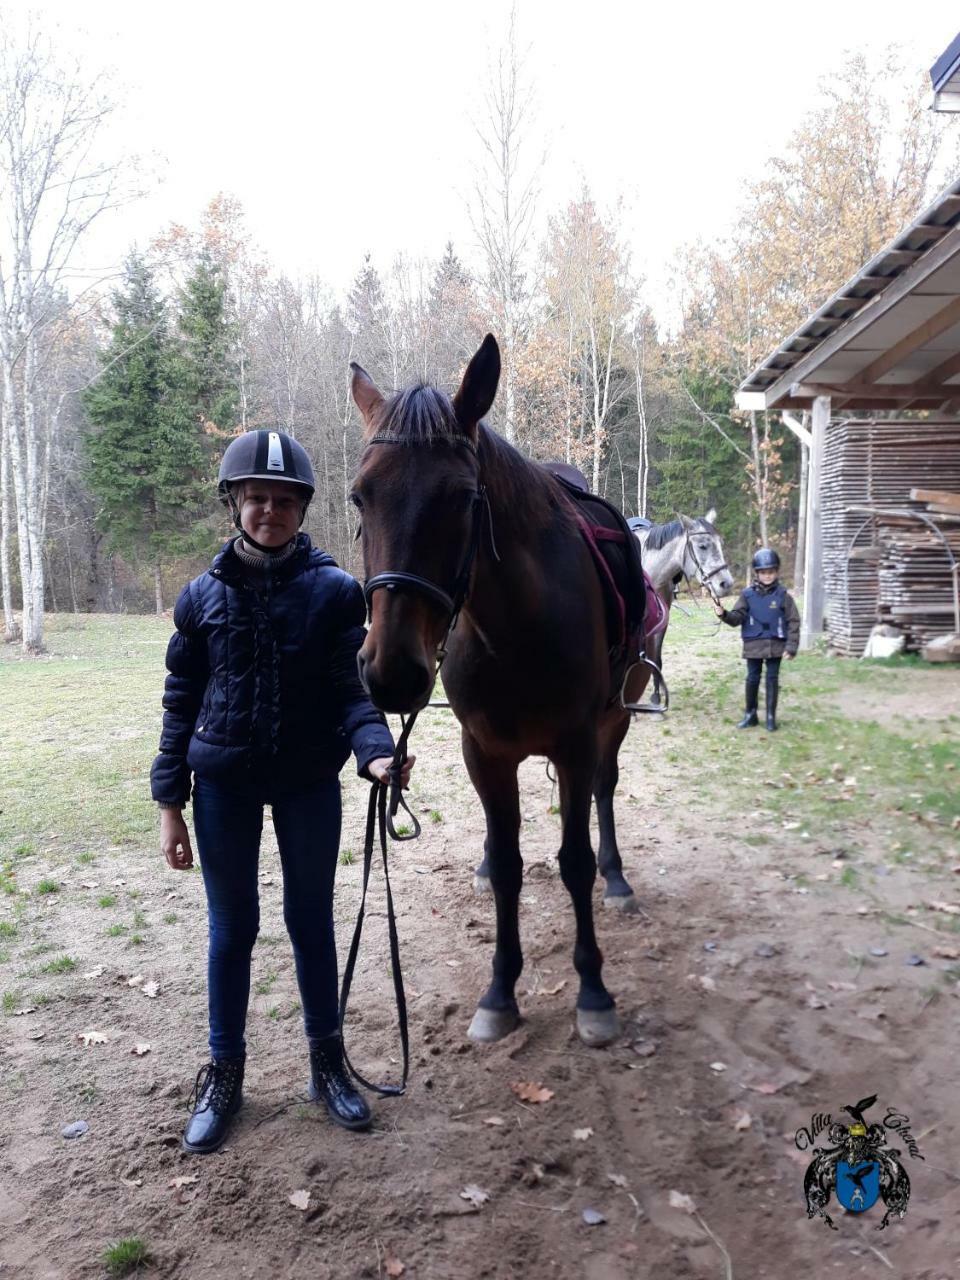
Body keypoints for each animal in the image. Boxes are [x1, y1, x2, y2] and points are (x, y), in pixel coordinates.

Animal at [350, 335, 650, 1044]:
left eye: (463, 499)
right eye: (358, 498)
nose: (391, 671)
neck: (515, 627)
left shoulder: (576, 743)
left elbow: (574, 859)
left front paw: (593, 992)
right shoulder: (483, 751)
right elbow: (511, 862)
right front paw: (499, 993)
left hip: (614, 722)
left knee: (604, 793)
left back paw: (617, 880)